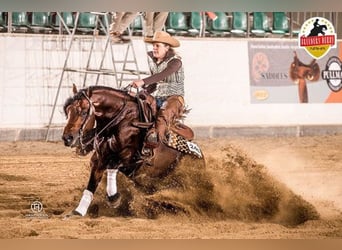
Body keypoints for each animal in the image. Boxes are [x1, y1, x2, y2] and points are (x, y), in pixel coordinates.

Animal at [61, 84, 203, 217]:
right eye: (68, 111)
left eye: (83, 112)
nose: (67, 138)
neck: (122, 120)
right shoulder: (100, 159)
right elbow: (91, 185)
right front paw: (78, 212)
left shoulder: (131, 158)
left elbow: (112, 166)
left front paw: (114, 198)